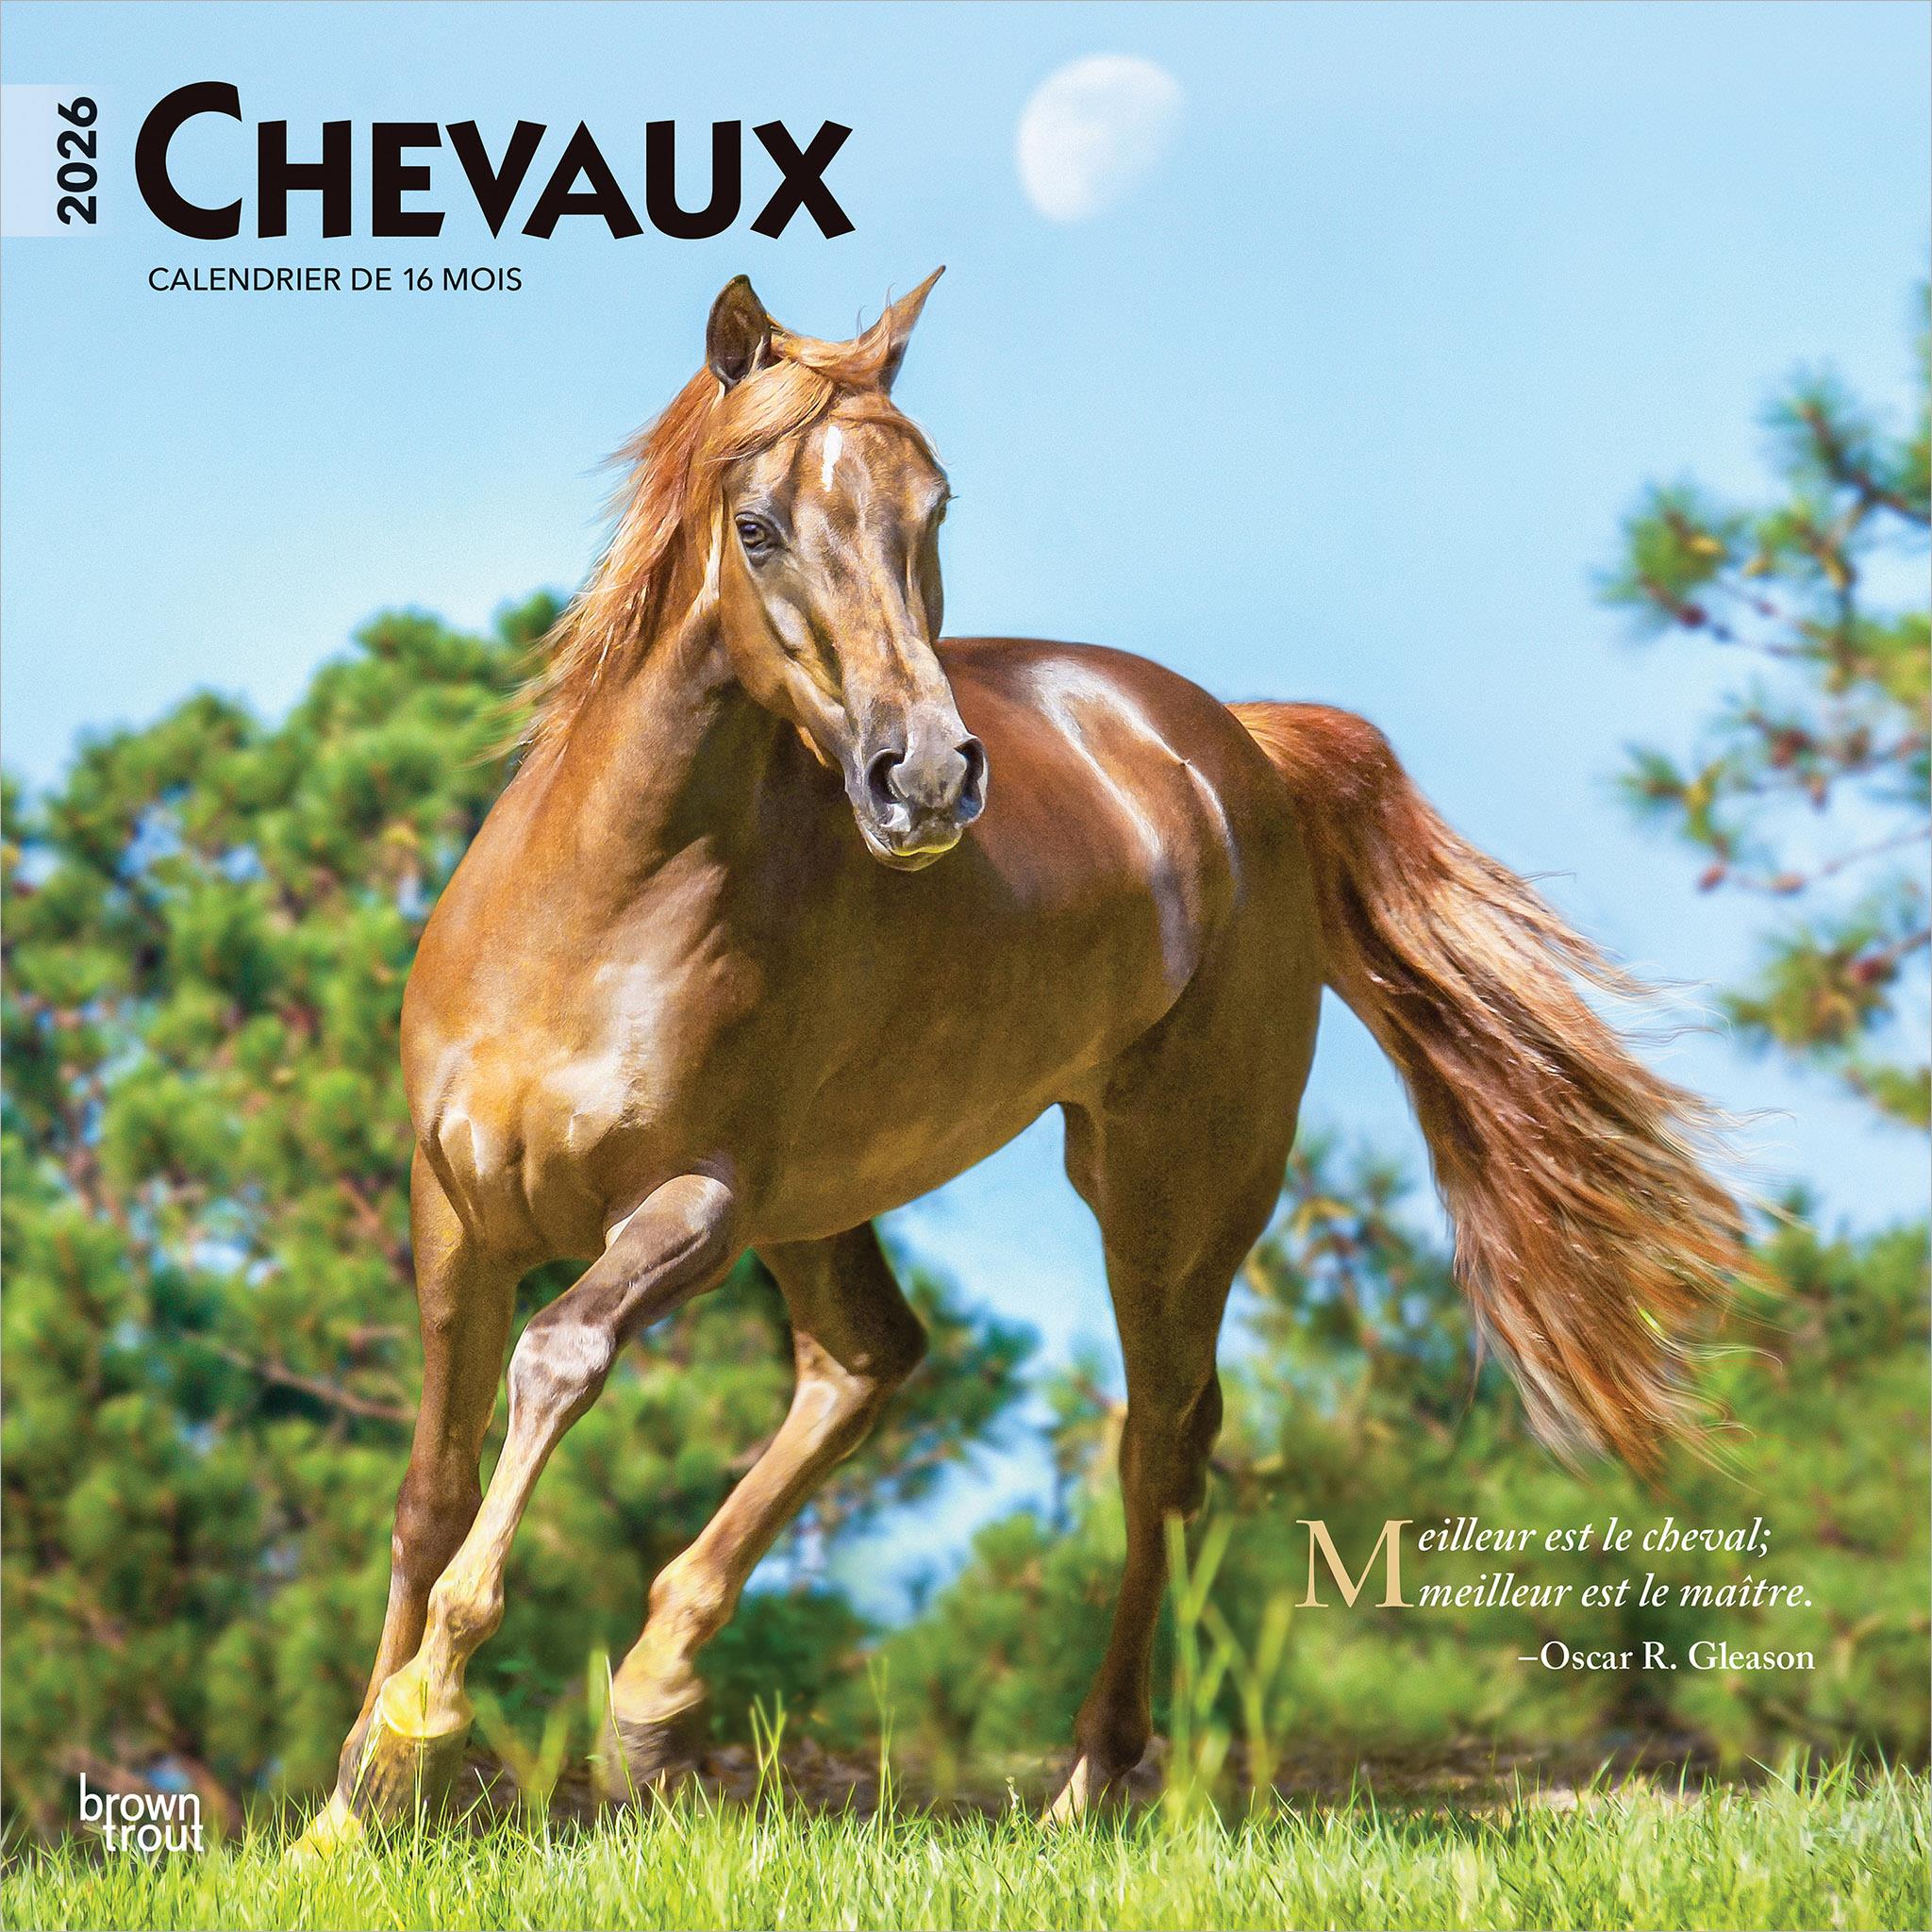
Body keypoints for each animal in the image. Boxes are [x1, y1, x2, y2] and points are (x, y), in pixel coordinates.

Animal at [294, 271, 1744, 1856]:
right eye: (760, 524)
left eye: (934, 507)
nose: (925, 776)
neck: (598, 906)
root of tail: (1237, 749)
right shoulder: (456, 1209)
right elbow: (431, 1489)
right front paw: (349, 1802)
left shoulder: (695, 1205)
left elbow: (559, 1360)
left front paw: (419, 1724)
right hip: (830, 1208)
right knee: (872, 1363)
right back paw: (656, 1711)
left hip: (1162, 1187)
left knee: (1157, 1439)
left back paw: (1091, 1775)